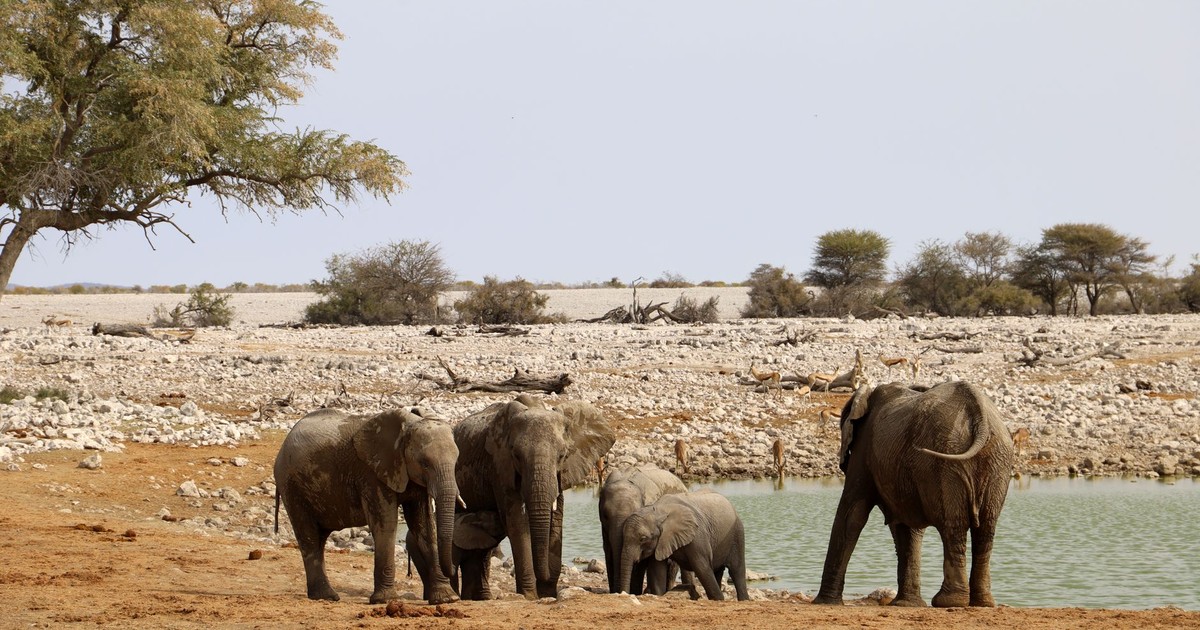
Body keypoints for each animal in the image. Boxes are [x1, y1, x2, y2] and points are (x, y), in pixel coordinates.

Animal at [273, 407, 460, 604]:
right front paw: (384, 600)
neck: (409, 424)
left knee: (319, 538)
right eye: (424, 463)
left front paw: (447, 599)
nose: (453, 567)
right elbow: (387, 523)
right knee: (308, 536)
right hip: (291, 486)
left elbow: (424, 525)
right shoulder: (371, 474)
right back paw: (327, 596)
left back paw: (325, 596)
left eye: (456, 461)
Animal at [453, 394, 615, 599]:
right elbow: (517, 522)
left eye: (562, 456)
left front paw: (547, 594)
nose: (544, 583)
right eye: (516, 455)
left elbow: (556, 521)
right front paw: (530, 596)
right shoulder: (499, 466)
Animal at [598, 465, 687, 594]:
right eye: (605, 516)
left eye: (634, 513)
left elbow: (641, 559)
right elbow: (608, 551)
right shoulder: (604, 526)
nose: (619, 591)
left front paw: (635, 593)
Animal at [618, 490, 750, 601]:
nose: (625, 594)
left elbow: (702, 567)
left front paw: (719, 599)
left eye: (643, 539)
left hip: (737, 533)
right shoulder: (660, 541)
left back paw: (744, 600)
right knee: (717, 570)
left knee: (736, 570)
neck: (659, 511)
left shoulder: (697, 535)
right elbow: (657, 572)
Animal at [813, 381, 1015, 608]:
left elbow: (852, 514)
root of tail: (980, 416)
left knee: (953, 525)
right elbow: (907, 527)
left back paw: (948, 601)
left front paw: (825, 603)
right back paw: (982, 602)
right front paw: (906, 605)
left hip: (947, 459)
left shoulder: (863, 449)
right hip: (995, 459)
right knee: (985, 528)